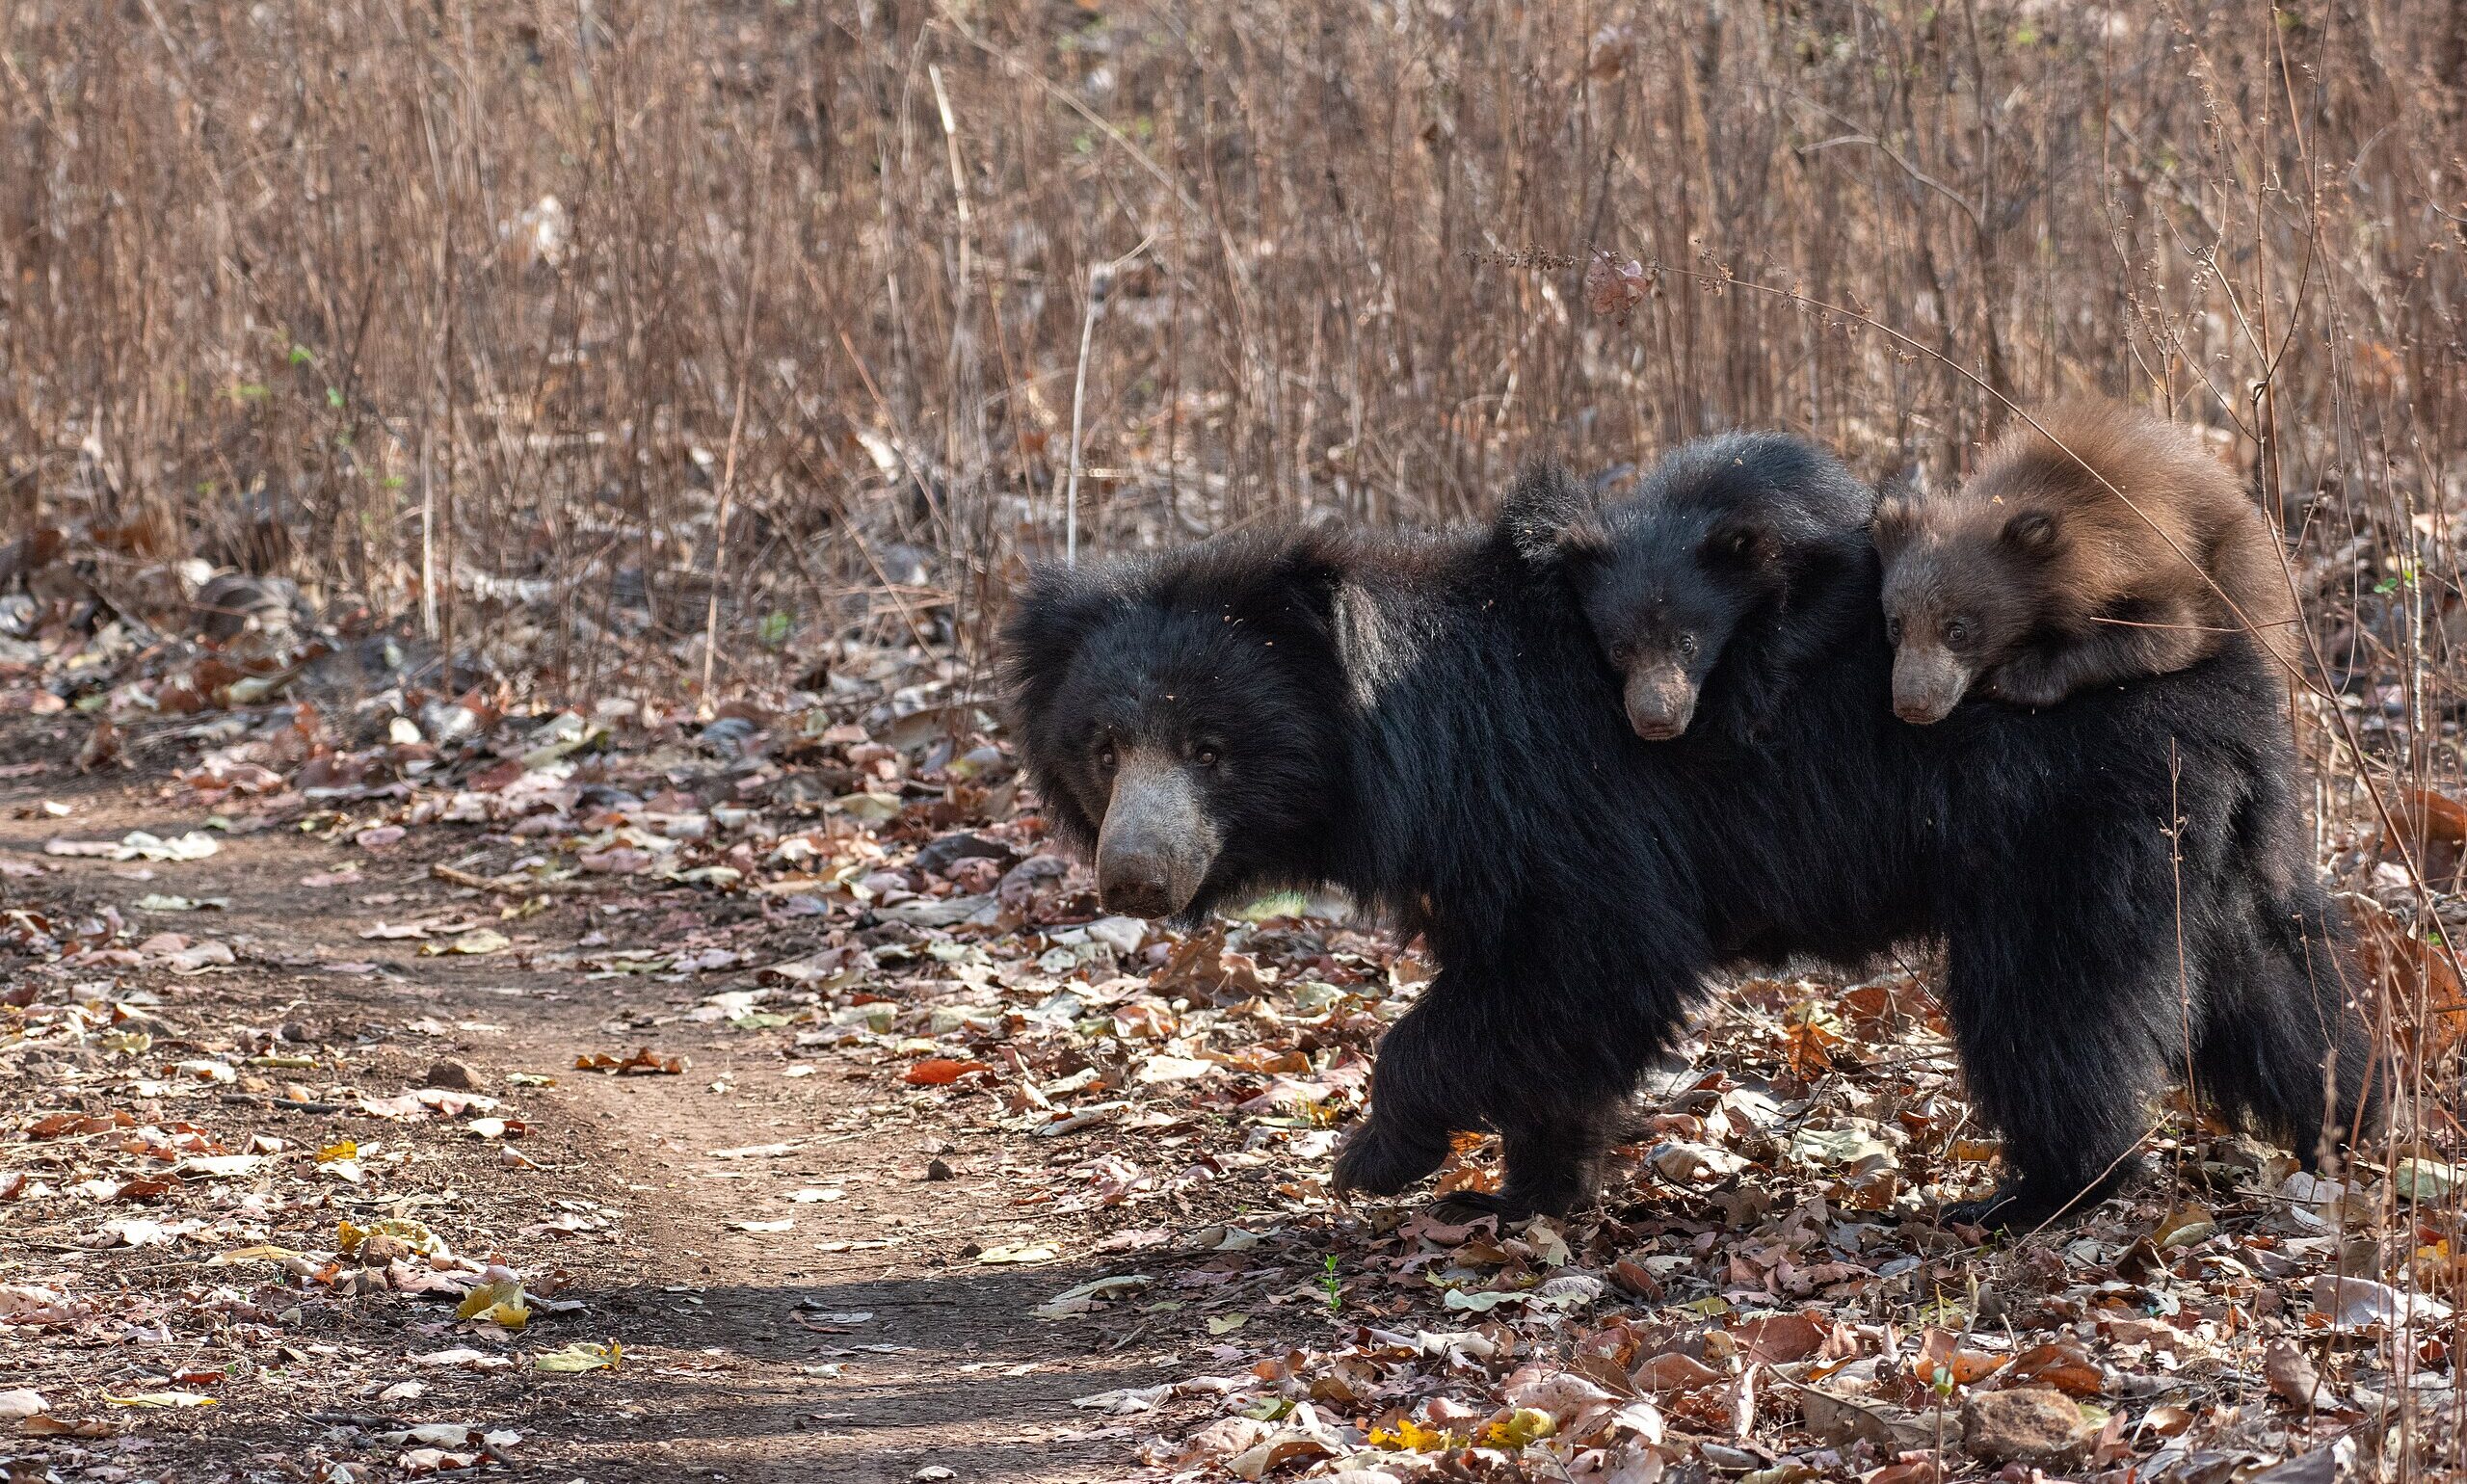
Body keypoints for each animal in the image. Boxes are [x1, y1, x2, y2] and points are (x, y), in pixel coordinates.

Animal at [1004, 446, 2376, 1228]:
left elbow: (1586, 960)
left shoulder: (1552, 801)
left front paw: (1376, 1157)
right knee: (2271, 973)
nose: (1133, 873)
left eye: (1209, 747)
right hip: (2215, 818)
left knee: (2054, 999)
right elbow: (1550, 1006)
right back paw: (2350, 1123)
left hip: (2058, 812)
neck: (1395, 740)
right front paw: (1525, 1192)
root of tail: (2214, 634)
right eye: (1102, 748)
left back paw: (2038, 1195)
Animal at [1872, 402, 2302, 724]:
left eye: (1957, 631)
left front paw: (2014, 678)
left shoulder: (2143, 556)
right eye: (1895, 627)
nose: (1912, 705)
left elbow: (2173, 632)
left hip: (2242, 562)